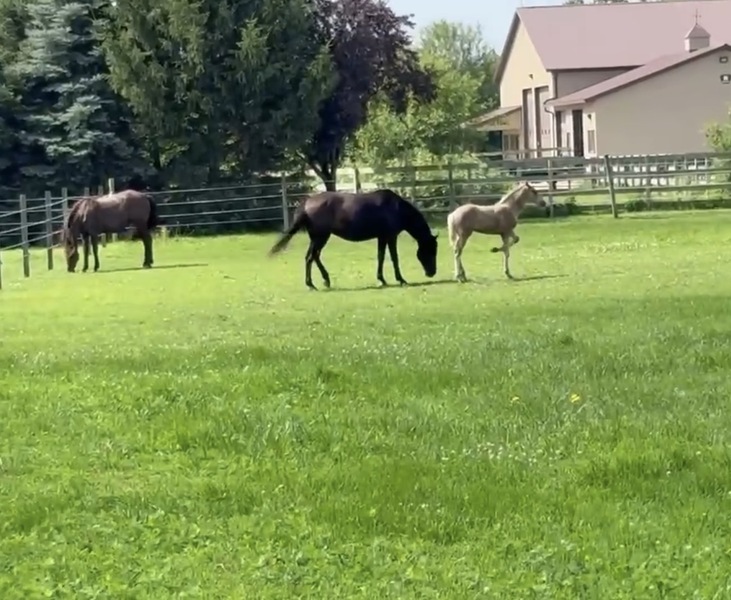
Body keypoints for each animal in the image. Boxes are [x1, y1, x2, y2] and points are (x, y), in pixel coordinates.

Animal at [268, 188, 439, 290]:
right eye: (431, 251)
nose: (432, 273)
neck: (396, 209)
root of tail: (307, 202)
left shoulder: (382, 237)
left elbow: (381, 257)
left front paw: (382, 279)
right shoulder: (390, 237)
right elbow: (393, 258)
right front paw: (400, 280)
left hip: (317, 238)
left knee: (313, 256)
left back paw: (325, 280)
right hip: (320, 237)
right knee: (311, 257)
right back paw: (311, 284)